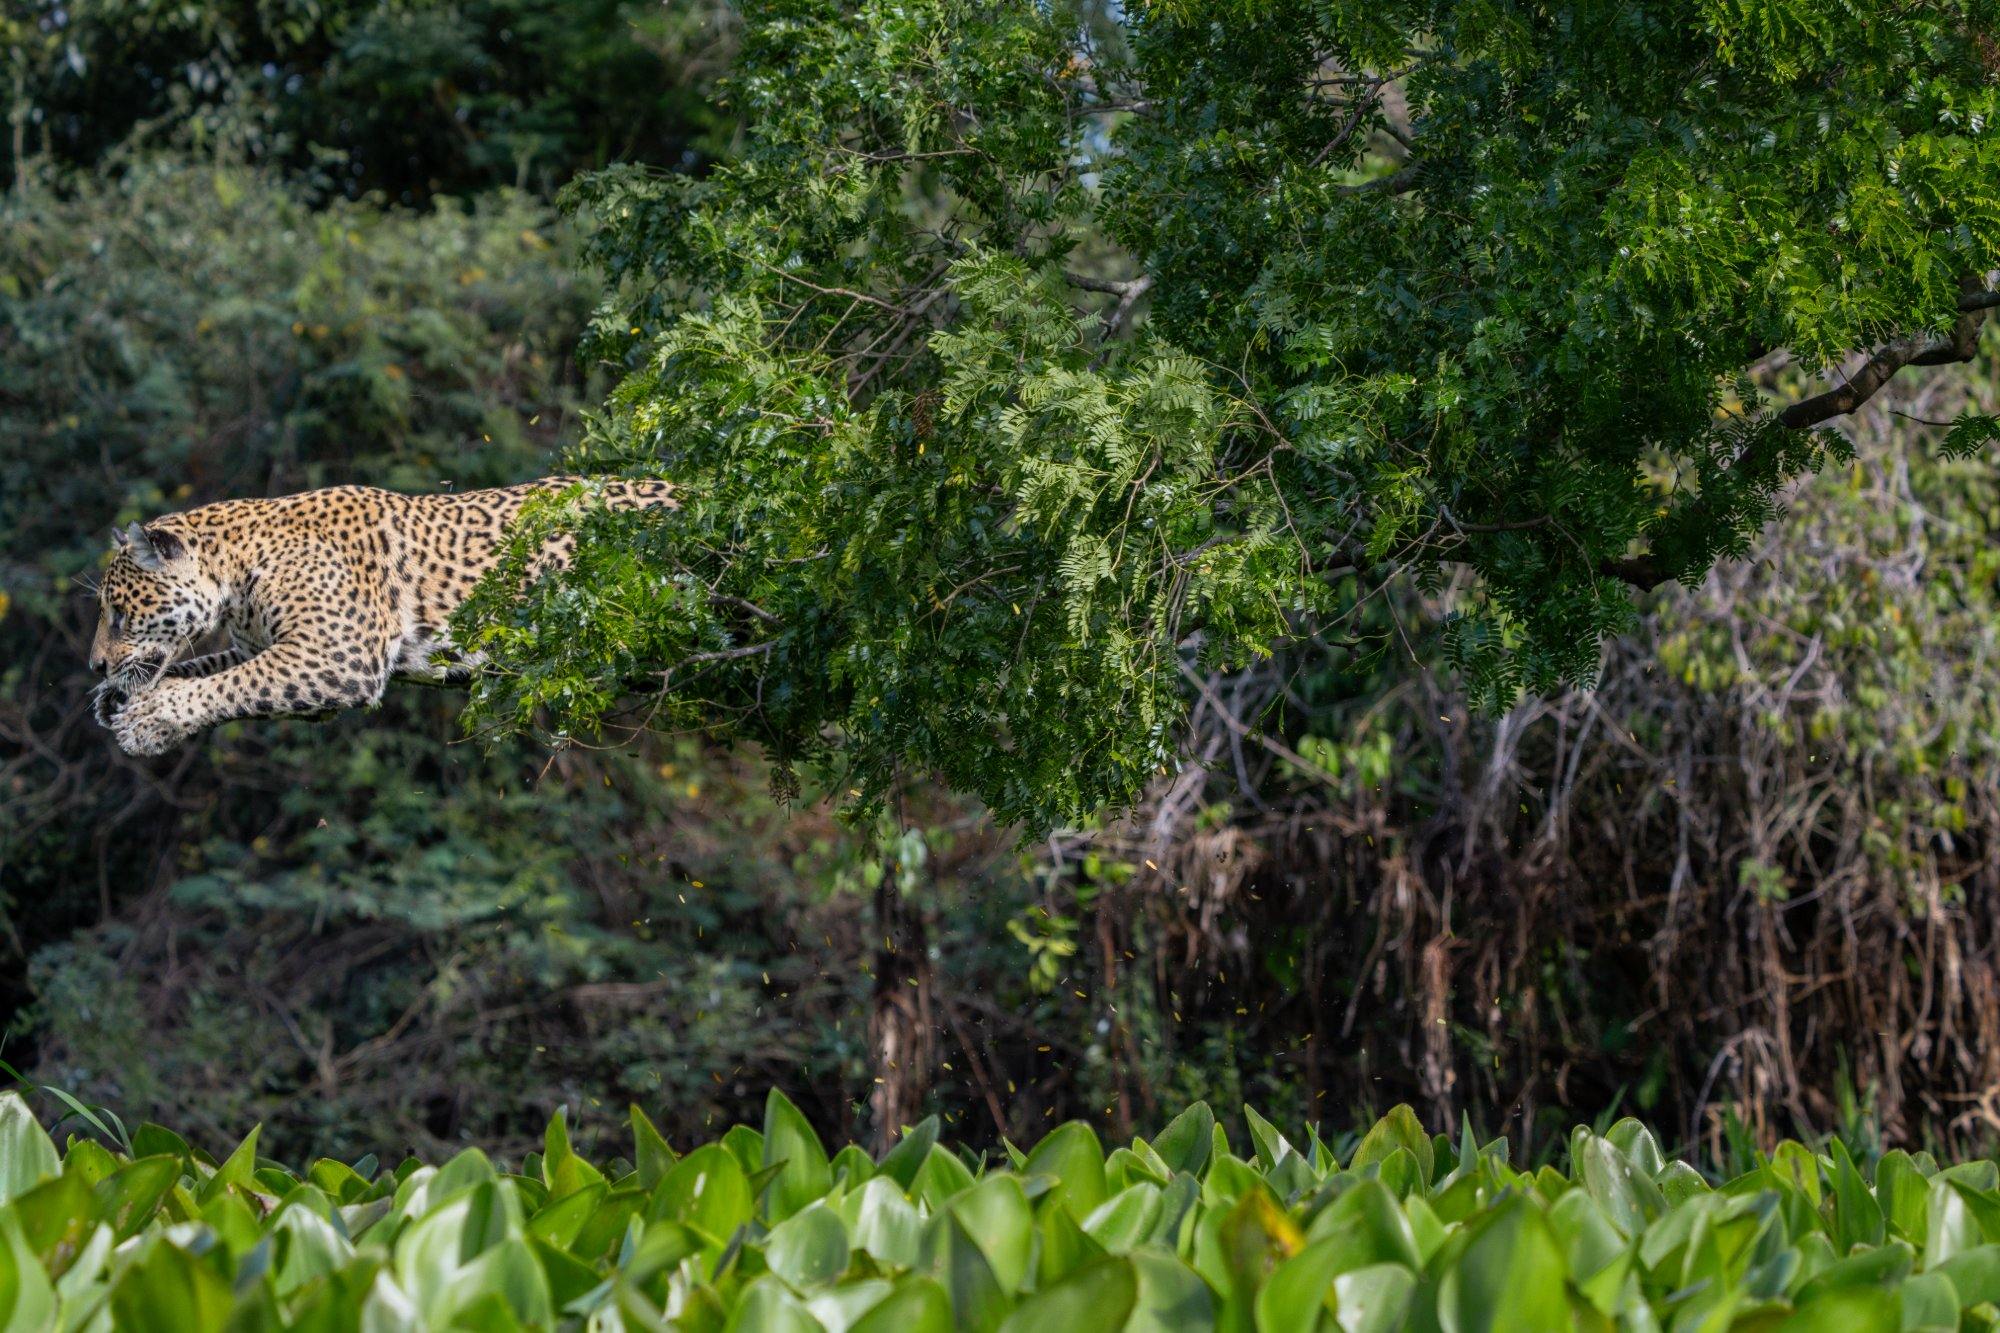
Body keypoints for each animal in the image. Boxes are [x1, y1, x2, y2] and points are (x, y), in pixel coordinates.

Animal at [89, 476, 675, 756]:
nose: (95, 665)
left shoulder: (337, 657)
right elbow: (209, 670)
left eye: (118, 613)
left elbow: (227, 684)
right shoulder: (273, 648)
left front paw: (150, 717)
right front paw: (116, 699)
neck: (235, 579)